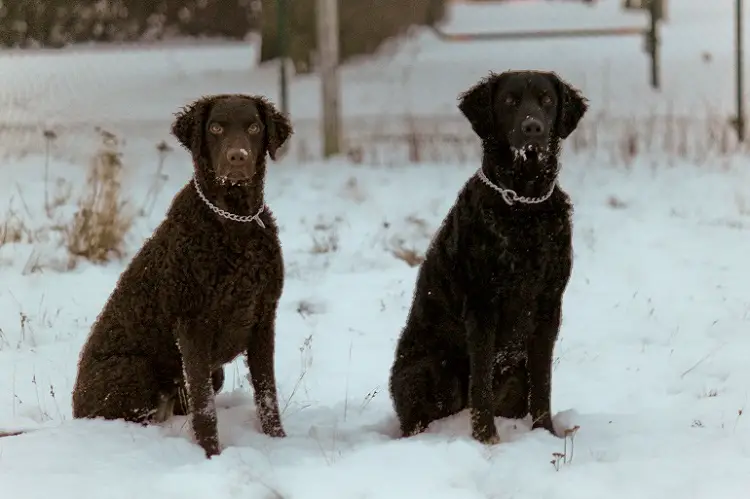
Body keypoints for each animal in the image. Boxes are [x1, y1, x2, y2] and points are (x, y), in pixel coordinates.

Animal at [71, 93, 294, 458]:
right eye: (216, 128)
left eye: (254, 127)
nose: (237, 157)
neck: (232, 223)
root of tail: (74, 408)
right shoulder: (192, 325)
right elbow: (205, 410)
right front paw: (212, 457)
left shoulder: (263, 318)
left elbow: (267, 396)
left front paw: (278, 443)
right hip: (132, 370)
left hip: (209, 374)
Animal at [390, 70, 592, 446]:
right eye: (510, 101)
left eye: (546, 100)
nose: (532, 128)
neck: (524, 208)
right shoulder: (482, 305)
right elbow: (480, 383)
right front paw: (485, 439)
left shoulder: (549, 305)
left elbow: (543, 384)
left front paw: (545, 433)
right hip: (428, 370)